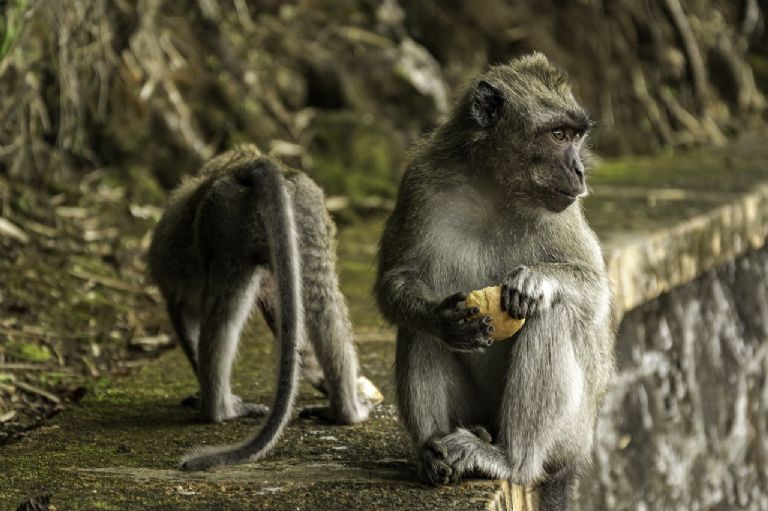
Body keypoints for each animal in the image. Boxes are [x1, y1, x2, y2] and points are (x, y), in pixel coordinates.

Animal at [147, 145, 380, 471]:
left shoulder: (178, 291)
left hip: (227, 222)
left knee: (224, 314)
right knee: (322, 302)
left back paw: (220, 409)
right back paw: (345, 412)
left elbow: (184, 317)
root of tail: (254, 164)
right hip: (303, 213)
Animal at [374, 53, 615, 509]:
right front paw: (440, 317)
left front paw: (536, 280)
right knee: (417, 331)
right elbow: (396, 281)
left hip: (572, 435)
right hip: (474, 412)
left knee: (553, 316)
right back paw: (432, 452)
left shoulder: (563, 210)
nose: (579, 169)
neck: (494, 190)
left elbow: (595, 291)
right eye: (558, 134)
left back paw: (509, 459)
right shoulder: (419, 181)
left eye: (575, 136)